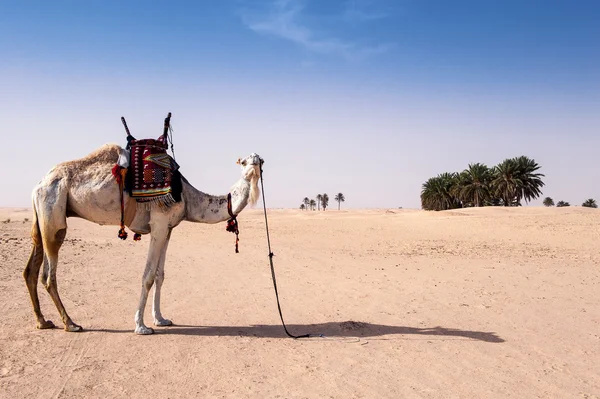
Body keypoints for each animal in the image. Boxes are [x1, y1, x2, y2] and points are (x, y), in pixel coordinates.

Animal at [23, 142, 262, 336]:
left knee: (30, 271)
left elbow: (159, 275)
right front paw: (141, 326)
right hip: (54, 214)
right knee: (48, 275)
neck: (188, 197)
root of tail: (38, 185)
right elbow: (147, 276)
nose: (253, 167)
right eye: (244, 162)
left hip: (42, 217)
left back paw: (43, 321)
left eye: (261, 161)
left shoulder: (168, 229)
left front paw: (161, 319)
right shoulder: (158, 223)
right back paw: (70, 323)